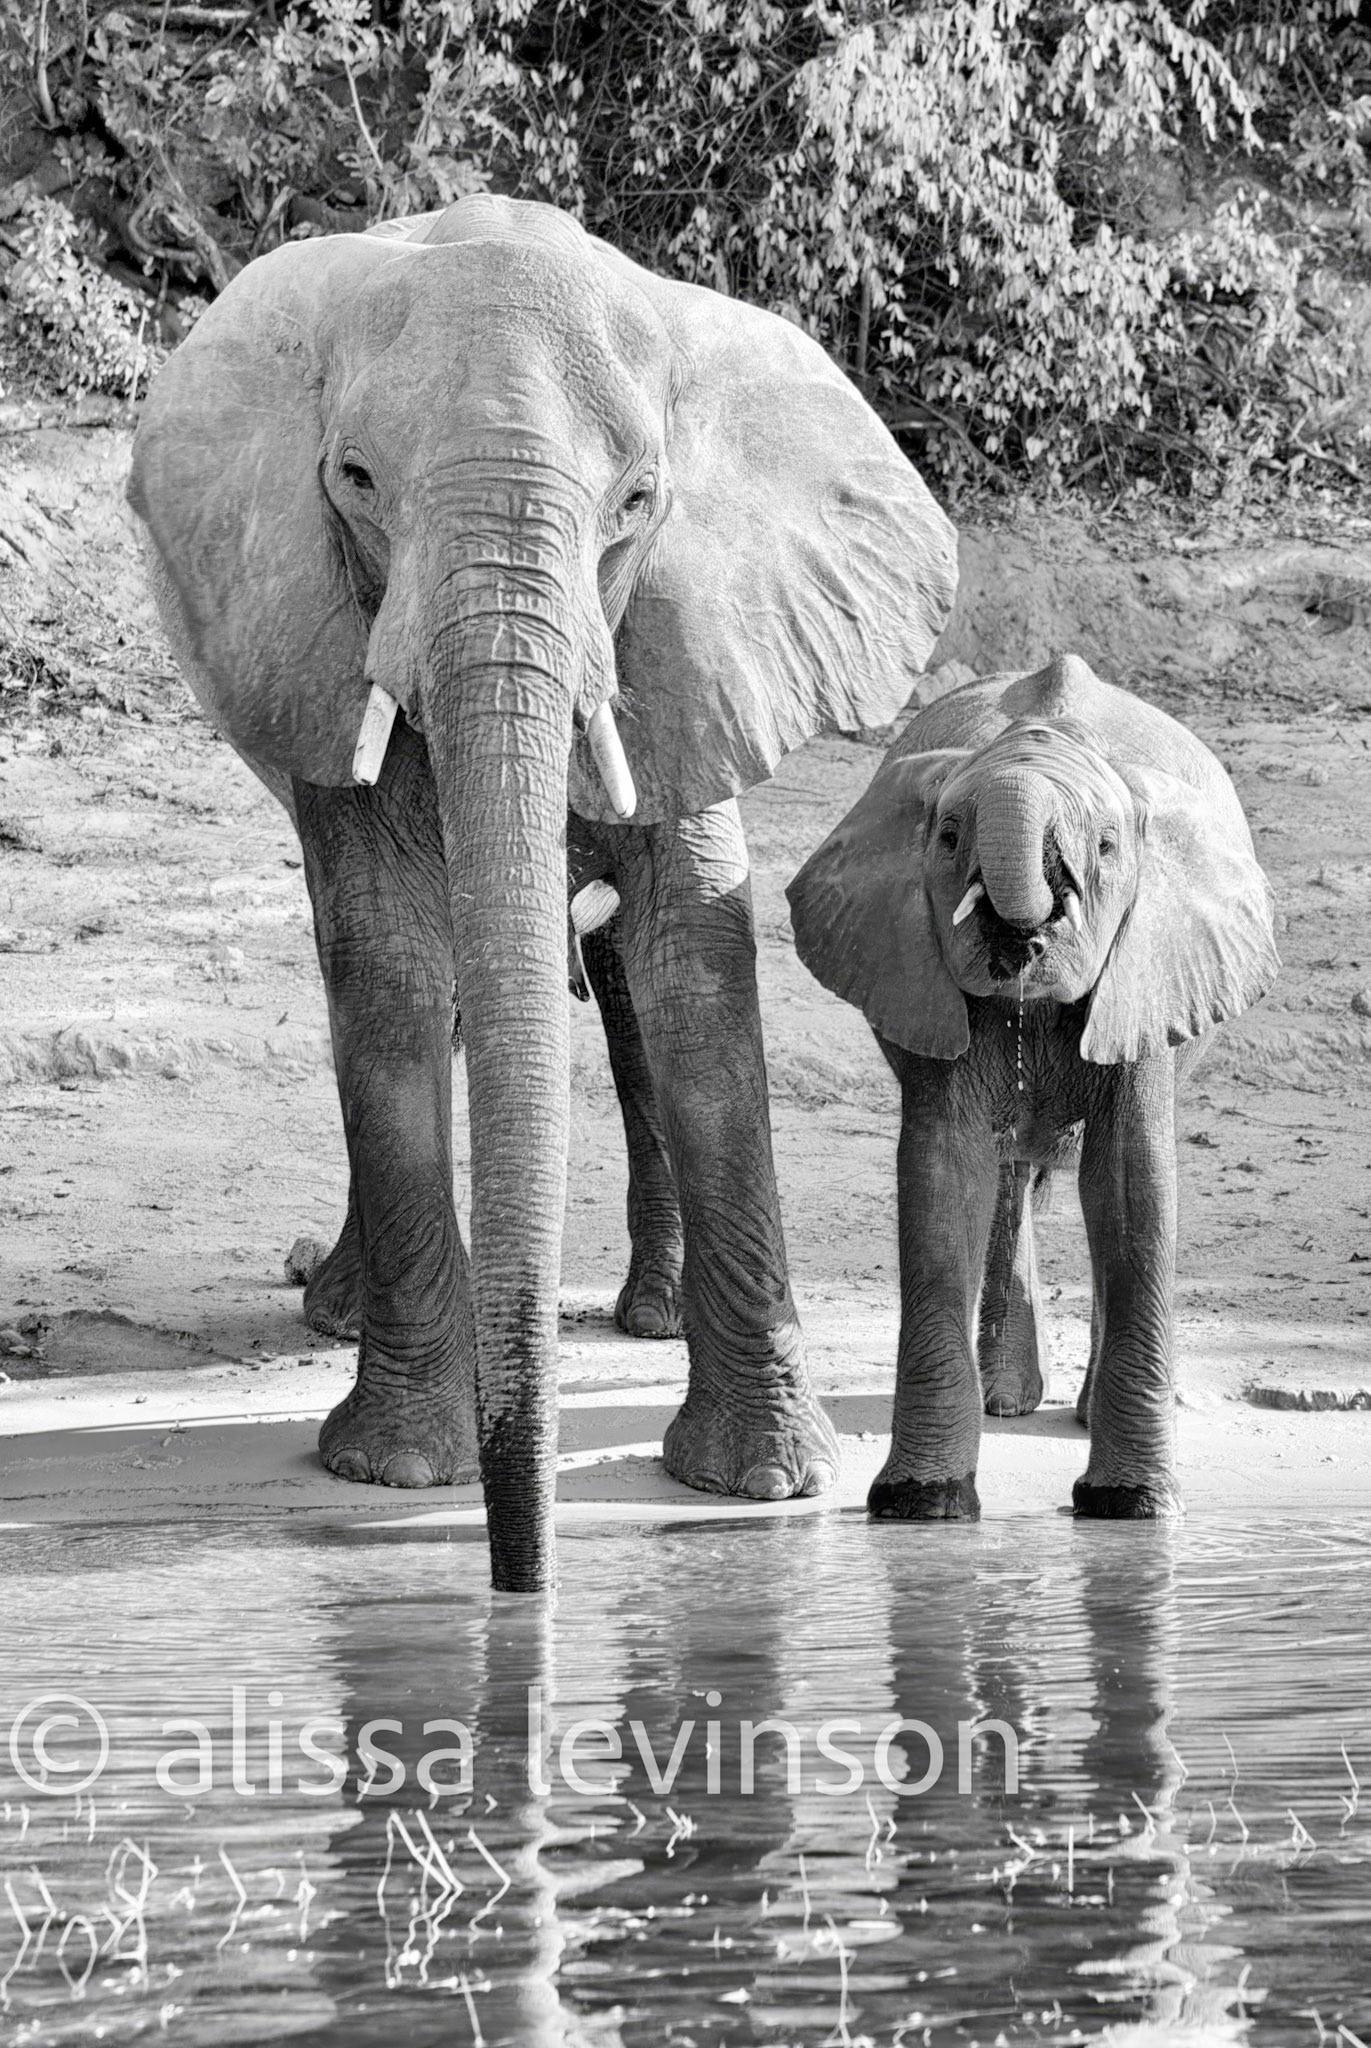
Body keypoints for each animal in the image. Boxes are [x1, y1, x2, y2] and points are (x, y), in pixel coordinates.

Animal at [126, 193, 959, 1591]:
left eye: (637, 499)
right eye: (356, 482)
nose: (520, 1582)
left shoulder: (693, 638)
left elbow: (697, 974)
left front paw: (765, 1484)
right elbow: (392, 972)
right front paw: (400, 1469)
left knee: (620, 988)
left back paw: (650, 1312)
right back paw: (344, 1308)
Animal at [786, 651, 1279, 1522]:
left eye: (1108, 847)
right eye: (949, 836)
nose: (1028, 927)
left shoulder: (1146, 968)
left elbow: (1130, 1183)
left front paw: (1131, 1507)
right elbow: (944, 1175)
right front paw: (922, 1506)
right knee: (1008, 1171)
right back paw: (1006, 1400)